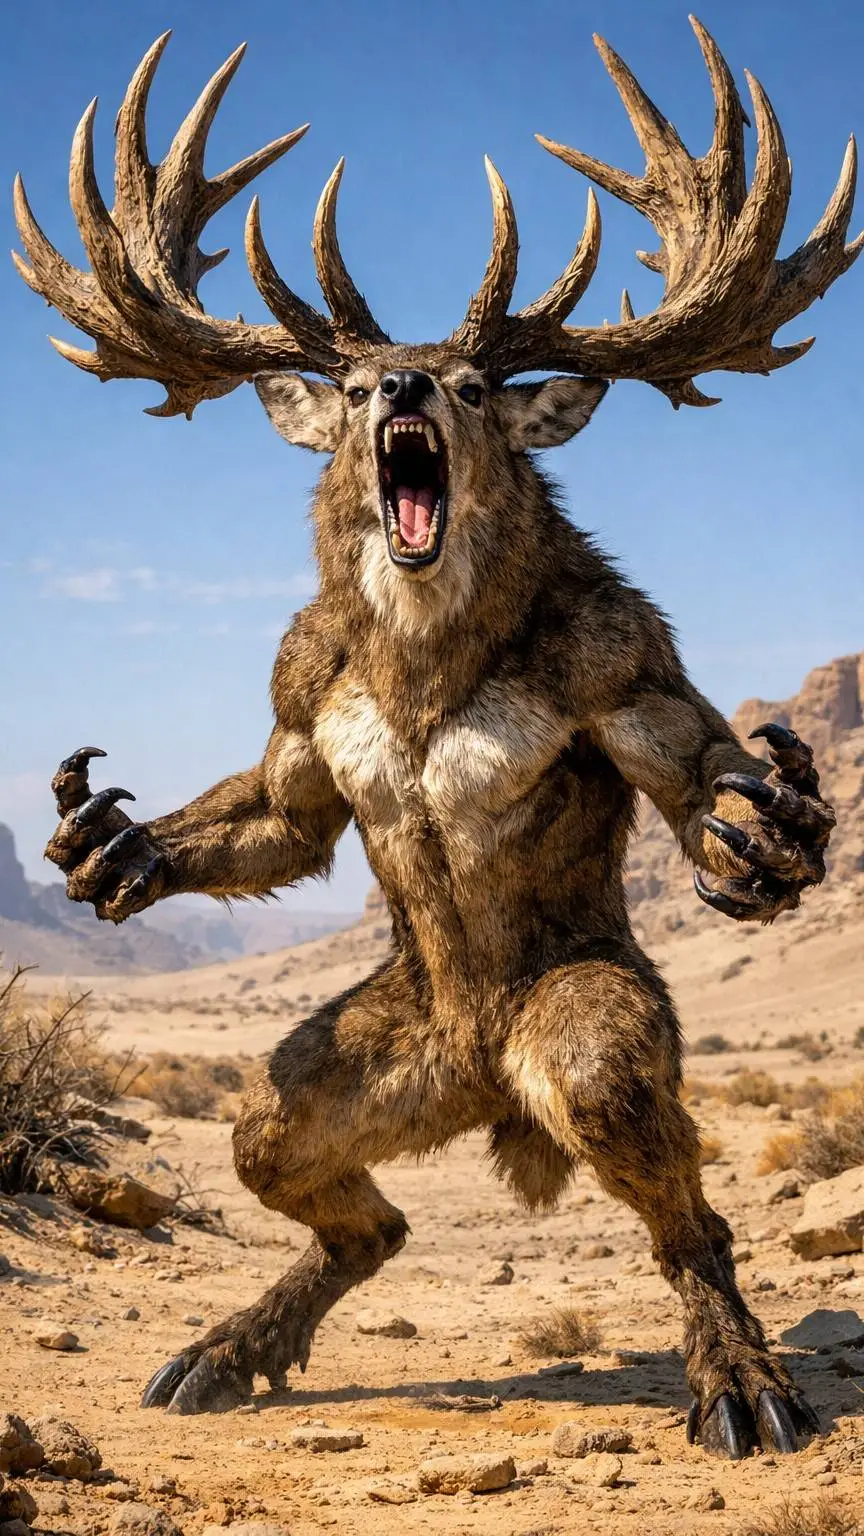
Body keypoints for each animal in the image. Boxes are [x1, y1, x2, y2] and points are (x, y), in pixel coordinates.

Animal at [14, 18, 859, 1457]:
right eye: (356, 387)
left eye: (472, 385)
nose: (404, 382)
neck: (423, 658)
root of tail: (487, 1082)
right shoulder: (298, 680)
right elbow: (286, 815)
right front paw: (105, 849)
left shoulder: (622, 655)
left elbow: (693, 771)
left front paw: (776, 839)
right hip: (347, 1074)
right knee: (323, 1181)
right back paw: (229, 1348)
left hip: (590, 1045)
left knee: (682, 1210)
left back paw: (742, 1381)